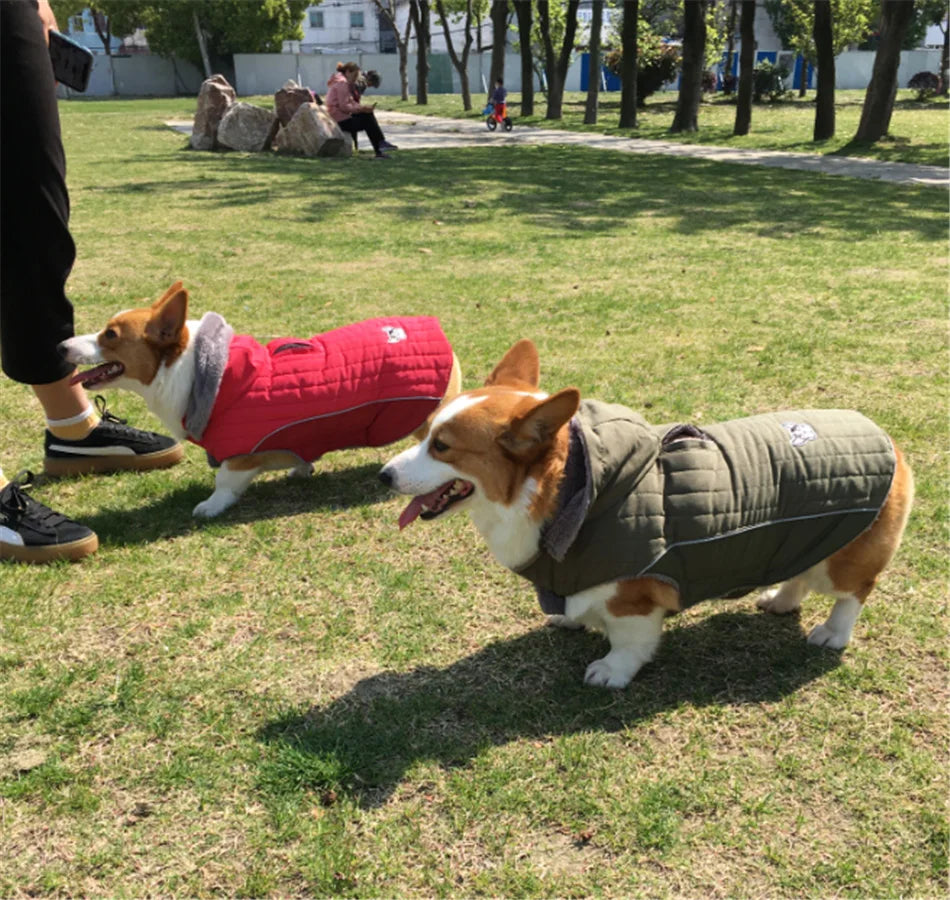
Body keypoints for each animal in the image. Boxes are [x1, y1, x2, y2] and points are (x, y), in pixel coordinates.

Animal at [58, 282, 462, 520]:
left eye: (110, 335)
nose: (61, 346)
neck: (190, 371)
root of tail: (442, 334)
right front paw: (301, 469)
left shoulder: (239, 453)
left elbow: (224, 481)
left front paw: (210, 506)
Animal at [380, 342, 916, 688]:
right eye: (425, 432)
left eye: (443, 446)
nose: (383, 476)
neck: (564, 490)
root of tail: (889, 439)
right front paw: (569, 620)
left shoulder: (633, 594)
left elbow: (630, 642)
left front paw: (611, 672)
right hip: (803, 538)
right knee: (798, 574)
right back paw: (780, 600)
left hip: (844, 556)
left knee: (853, 593)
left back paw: (832, 633)